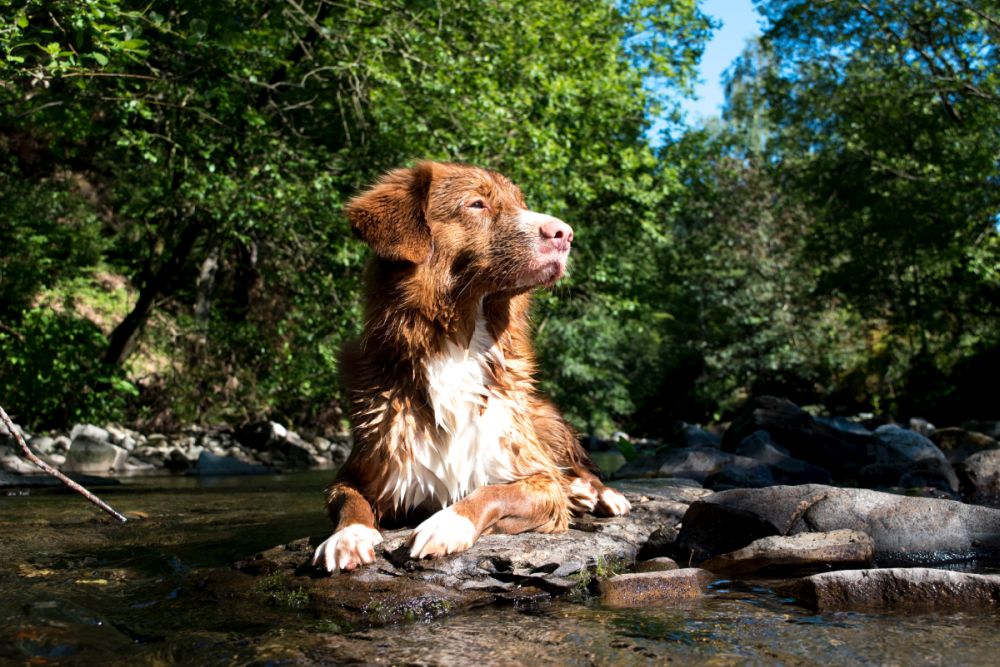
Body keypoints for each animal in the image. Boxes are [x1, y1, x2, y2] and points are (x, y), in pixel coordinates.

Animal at [312, 162, 628, 576]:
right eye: (477, 204)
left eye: (521, 203)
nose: (565, 233)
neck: (457, 343)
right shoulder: (362, 471)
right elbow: (349, 500)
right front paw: (347, 537)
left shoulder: (539, 480)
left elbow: (492, 491)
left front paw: (447, 523)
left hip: (547, 422)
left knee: (581, 470)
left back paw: (604, 496)